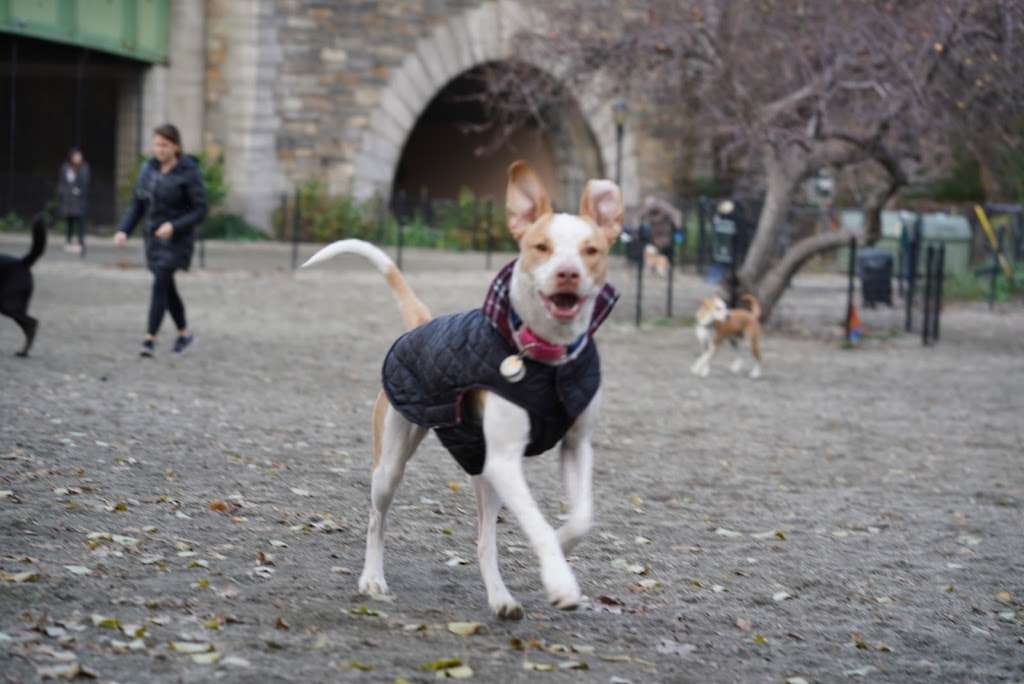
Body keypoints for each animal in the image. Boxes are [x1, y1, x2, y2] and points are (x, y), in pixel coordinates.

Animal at [0, 218, 46, 358]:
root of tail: (22, 262)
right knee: (29, 326)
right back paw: (24, 351)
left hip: (10, 305)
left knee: (32, 323)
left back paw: (23, 352)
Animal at [301, 161, 622, 618]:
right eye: (541, 247)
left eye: (590, 250)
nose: (568, 273)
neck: (547, 359)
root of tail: (421, 322)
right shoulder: (505, 460)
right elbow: (538, 523)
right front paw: (560, 580)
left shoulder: (575, 446)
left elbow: (581, 518)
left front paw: (560, 550)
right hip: (392, 463)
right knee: (377, 518)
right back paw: (372, 579)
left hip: (483, 473)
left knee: (485, 541)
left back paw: (501, 599)